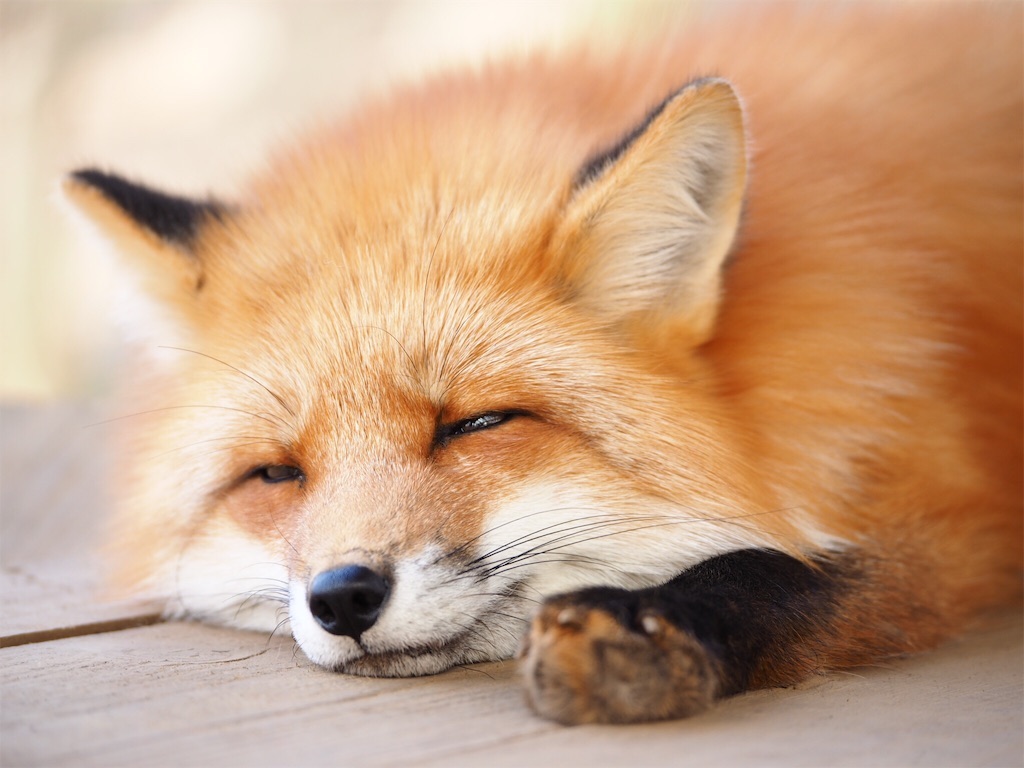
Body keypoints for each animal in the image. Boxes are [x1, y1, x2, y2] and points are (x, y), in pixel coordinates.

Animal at [63, 3, 1021, 725]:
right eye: (274, 473)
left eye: (477, 423)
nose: (342, 596)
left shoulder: (950, 496)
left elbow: (805, 567)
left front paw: (649, 622)